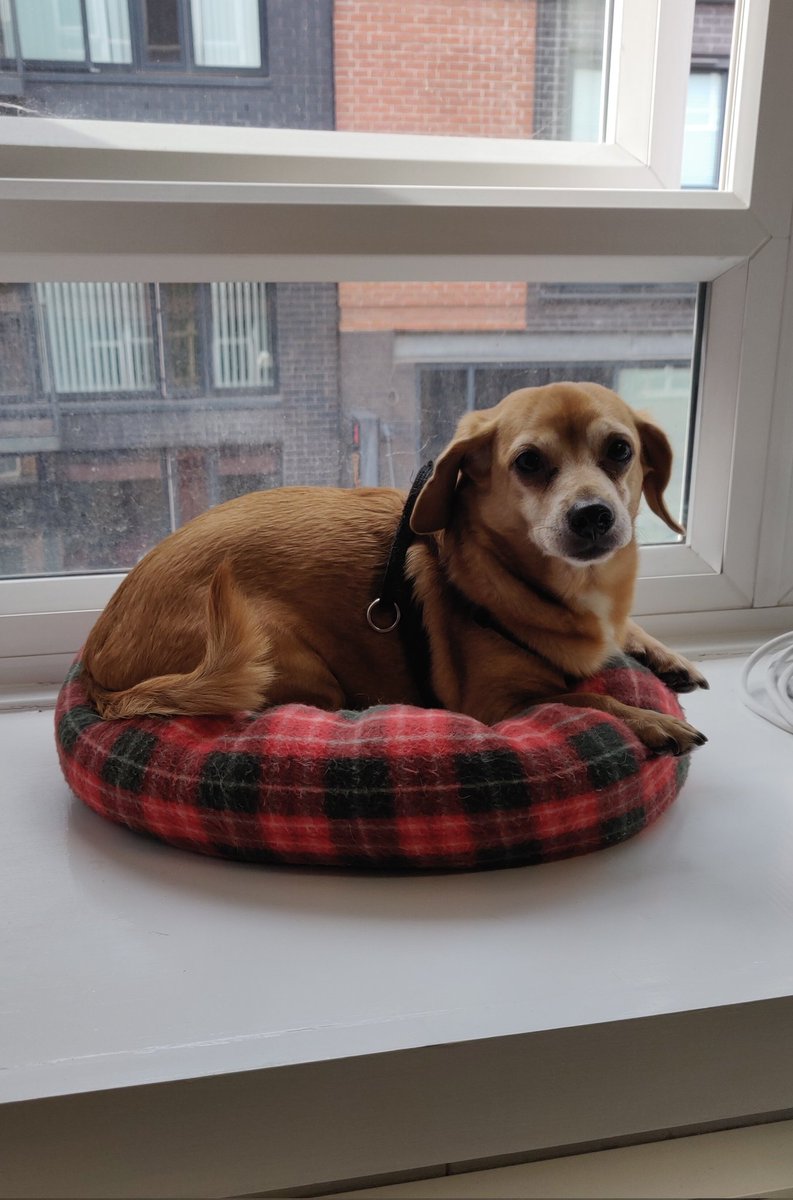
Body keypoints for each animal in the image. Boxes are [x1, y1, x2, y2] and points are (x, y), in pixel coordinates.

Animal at [83, 384, 710, 753]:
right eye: (529, 462)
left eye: (621, 450)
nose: (594, 515)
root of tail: (95, 655)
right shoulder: (497, 705)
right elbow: (582, 699)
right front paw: (647, 719)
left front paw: (664, 656)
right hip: (276, 653)